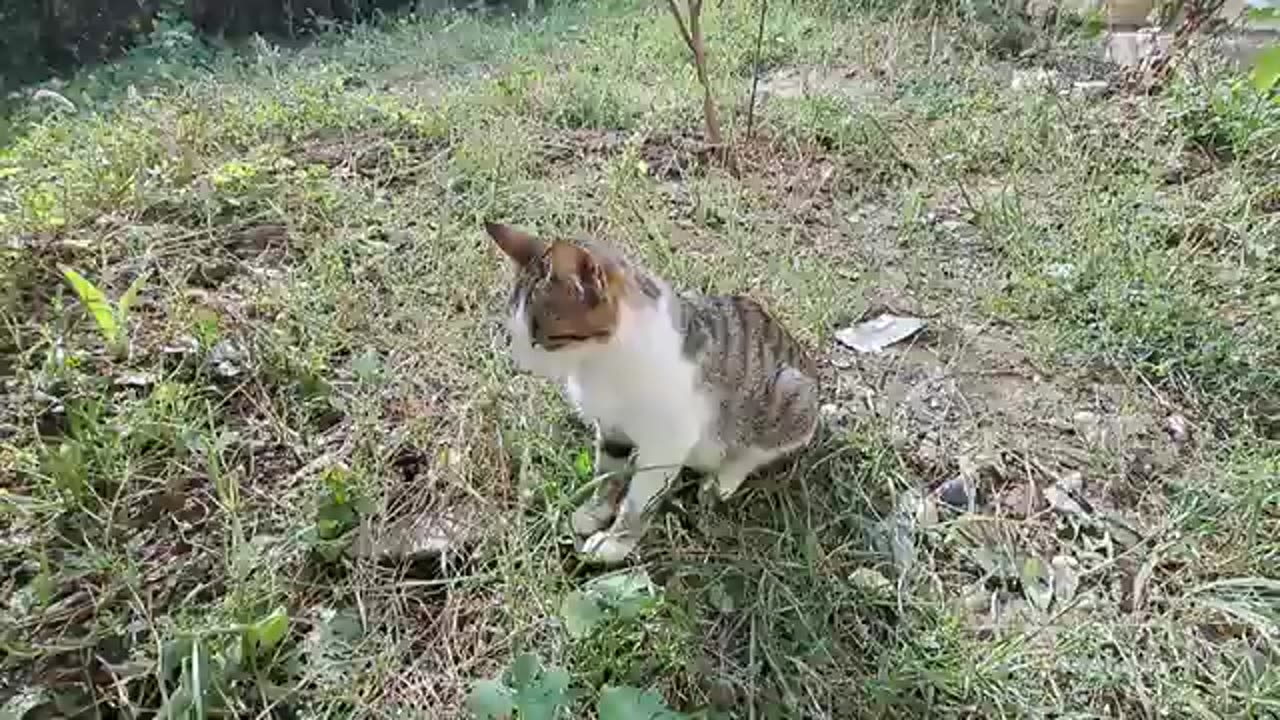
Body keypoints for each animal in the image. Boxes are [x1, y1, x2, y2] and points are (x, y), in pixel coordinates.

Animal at [481, 221, 819, 563]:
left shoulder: (666, 443)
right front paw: (594, 511)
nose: (519, 365)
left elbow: (638, 501)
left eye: (543, 339)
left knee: (759, 450)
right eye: (513, 332)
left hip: (791, 397)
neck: (599, 364)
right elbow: (608, 472)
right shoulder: (612, 427)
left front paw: (614, 544)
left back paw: (723, 480)